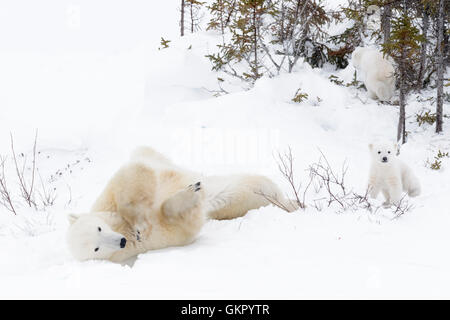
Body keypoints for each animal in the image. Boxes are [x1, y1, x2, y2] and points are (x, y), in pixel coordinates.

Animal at [67, 148, 296, 262]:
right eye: (96, 248)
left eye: (99, 227)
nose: (121, 241)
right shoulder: (153, 242)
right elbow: (182, 225)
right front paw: (190, 194)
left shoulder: (107, 199)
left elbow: (133, 172)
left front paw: (139, 222)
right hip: (244, 198)